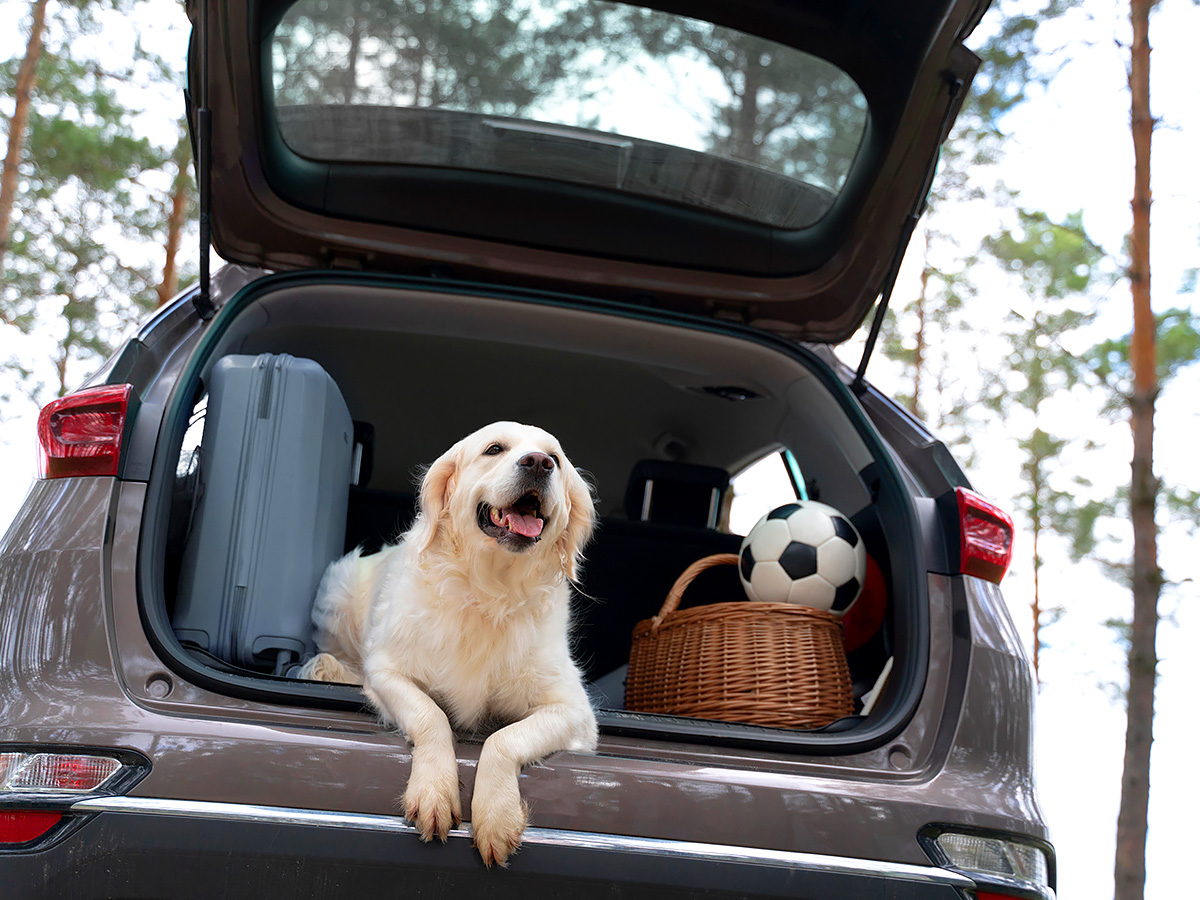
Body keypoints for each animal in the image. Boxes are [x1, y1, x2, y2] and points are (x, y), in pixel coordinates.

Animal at [302, 422, 597, 868]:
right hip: (339, 587)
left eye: (556, 460)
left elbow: (503, 738)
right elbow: (431, 715)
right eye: (494, 449)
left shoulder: (576, 711)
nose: (538, 463)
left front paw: (497, 813)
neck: (489, 592)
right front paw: (433, 792)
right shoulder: (386, 669)